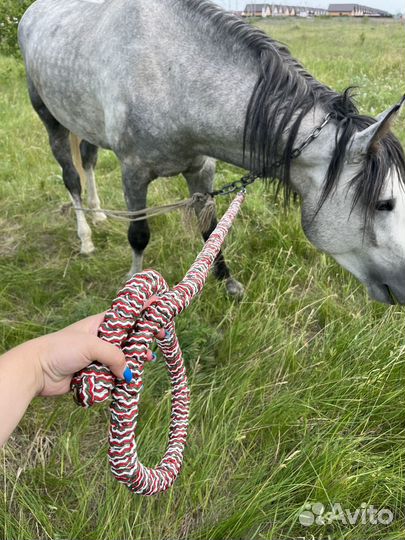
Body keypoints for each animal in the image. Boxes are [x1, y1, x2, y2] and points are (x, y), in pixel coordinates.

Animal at [18, 0, 404, 304]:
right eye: (383, 203)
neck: (172, 77)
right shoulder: (134, 173)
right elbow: (139, 235)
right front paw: (132, 285)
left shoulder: (202, 168)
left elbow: (212, 231)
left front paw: (228, 283)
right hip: (50, 119)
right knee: (72, 177)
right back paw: (85, 238)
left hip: (85, 122)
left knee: (88, 160)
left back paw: (99, 215)